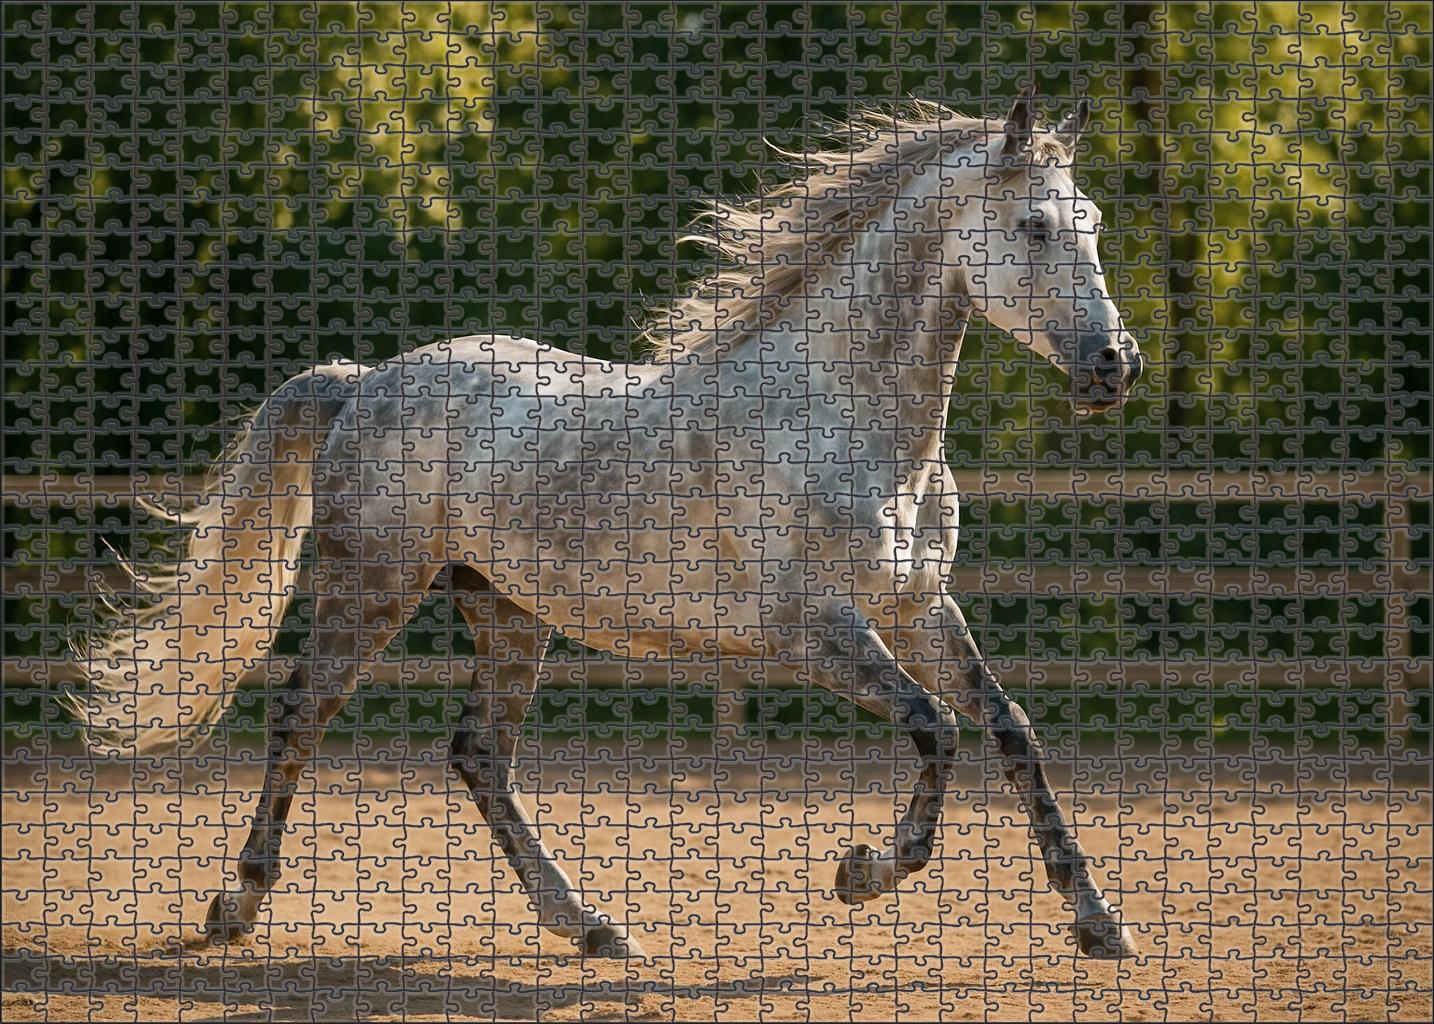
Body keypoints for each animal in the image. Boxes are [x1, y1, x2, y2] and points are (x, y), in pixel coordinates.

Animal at [72, 87, 1144, 959]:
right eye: (1034, 225)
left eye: (1091, 223)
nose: (1114, 366)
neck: (847, 421)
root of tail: (364, 383)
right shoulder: (812, 629)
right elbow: (936, 731)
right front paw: (861, 872)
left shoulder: (920, 609)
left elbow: (1009, 728)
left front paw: (1099, 923)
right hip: (371, 587)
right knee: (303, 712)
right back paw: (236, 908)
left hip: (507, 612)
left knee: (478, 754)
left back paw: (587, 923)